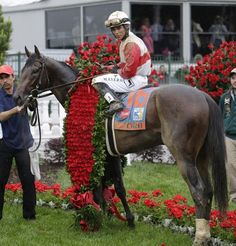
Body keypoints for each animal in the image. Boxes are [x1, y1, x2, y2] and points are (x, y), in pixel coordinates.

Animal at [13, 45, 228, 244]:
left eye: (35, 70)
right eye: (22, 69)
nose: (17, 97)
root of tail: (202, 95)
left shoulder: (95, 150)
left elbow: (98, 186)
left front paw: (94, 217)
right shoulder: (110, 152)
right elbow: (118, 186)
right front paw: (123, 218)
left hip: (184, 157)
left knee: (199, 192)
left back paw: (200, 236)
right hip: (201, 157)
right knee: (209, 190)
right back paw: (206, 233)